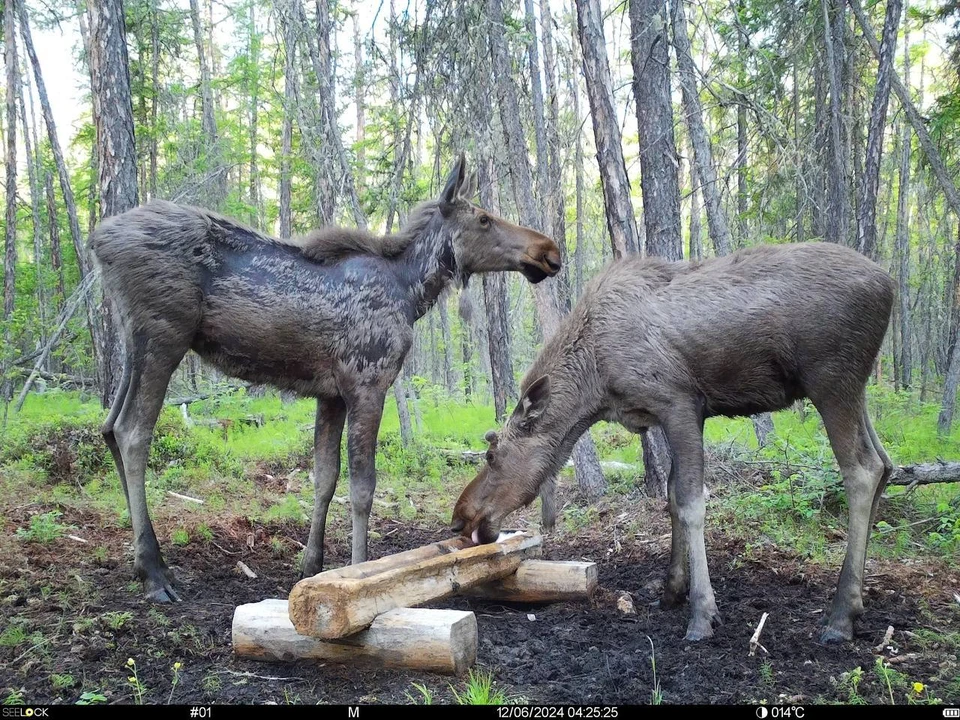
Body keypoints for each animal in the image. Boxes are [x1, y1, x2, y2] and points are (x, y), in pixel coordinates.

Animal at [90, 153, 564, 600]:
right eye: (483, 218)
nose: (549, 250)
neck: (413, 292)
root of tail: (98, 240)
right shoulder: (368, 383)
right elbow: (362, 487)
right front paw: (357, 570)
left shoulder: (330, 394)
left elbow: (324, 477)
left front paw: (311, 565)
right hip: (164, 337)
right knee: (134, 433)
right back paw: (154, 573)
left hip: (134, 341)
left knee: (109, 426)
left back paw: (150, 563)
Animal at [454, 245, 896, 644]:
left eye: (491, 455)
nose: (460, 519)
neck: (594, 385)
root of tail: (889, 285)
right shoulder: (669, 415)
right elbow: (670, 495)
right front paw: (671, 590)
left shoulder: (679, 402)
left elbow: (689, 500)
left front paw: (702, 614)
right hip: (856, 389)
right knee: (886, 463)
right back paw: (857, 602)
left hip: (831, 380)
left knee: (862, 469)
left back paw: (840, 616)